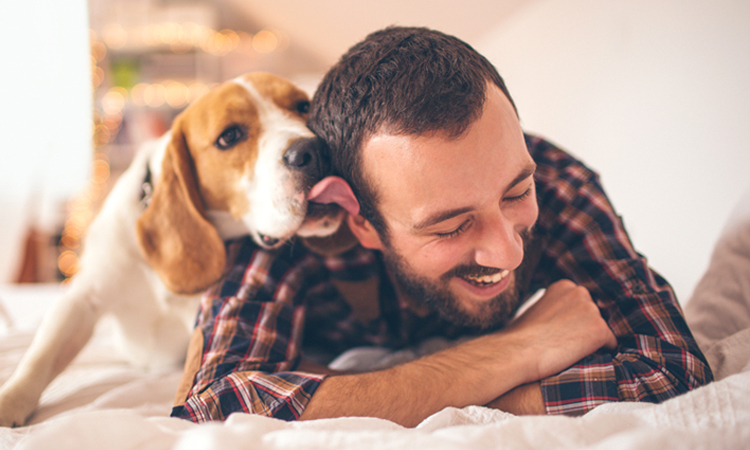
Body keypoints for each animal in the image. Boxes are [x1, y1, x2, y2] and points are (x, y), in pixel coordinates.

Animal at [0, 72, 350, 428]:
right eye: (230, 136)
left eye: (303, 106)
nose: (314, 149)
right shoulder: (82, 299)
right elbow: (41, 356)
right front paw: (10, 401)